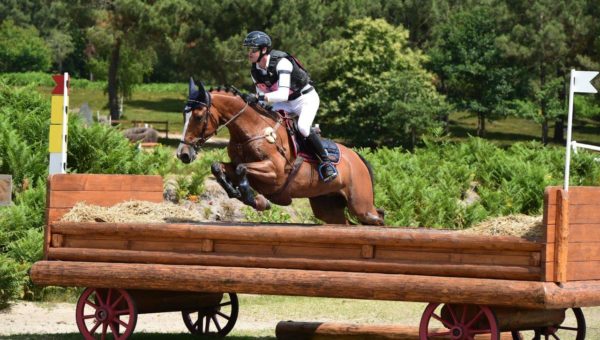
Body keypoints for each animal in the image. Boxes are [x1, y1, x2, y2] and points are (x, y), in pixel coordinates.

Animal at [177, 78, 384, 224]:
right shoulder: (238, 165)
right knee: (345, 223)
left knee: (378, 217)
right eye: (184, 115)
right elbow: (218, 167)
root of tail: (357, 157)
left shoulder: (274, 171)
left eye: (198, 116)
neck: (252, 130)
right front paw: (238, 193)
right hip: (327, 207)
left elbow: (242, 168)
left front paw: (252, 198)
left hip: (361, 205)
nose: (183, 154)